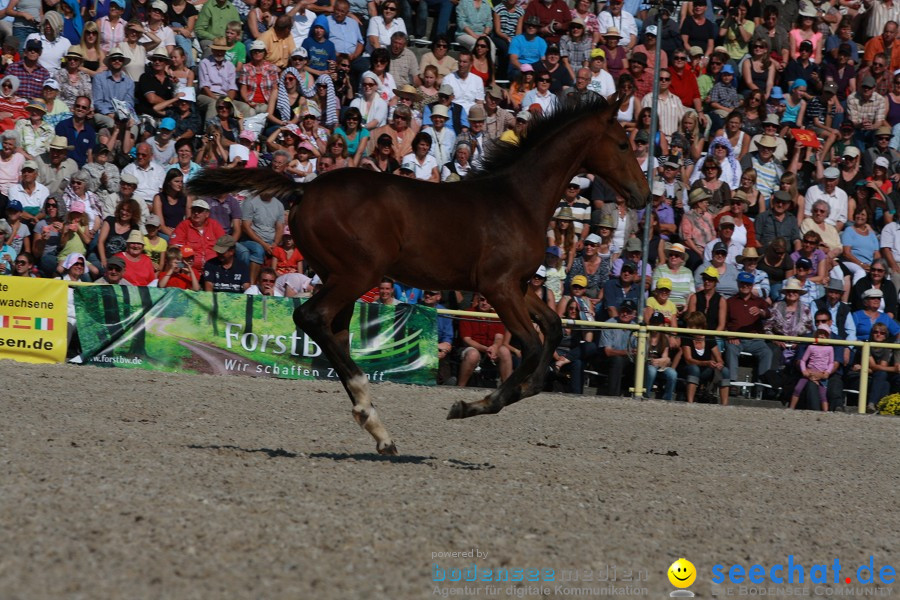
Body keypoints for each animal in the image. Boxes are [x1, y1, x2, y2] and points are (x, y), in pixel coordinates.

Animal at [188, 98, 648, 454]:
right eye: (623, 144)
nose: (644, 195)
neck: (518, 200)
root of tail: (304, 190)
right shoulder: (498, 288)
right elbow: (533, 346)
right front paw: (469, 406)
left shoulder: (516, 286)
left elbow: (553, 329)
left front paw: (523, 390)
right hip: (358, 273)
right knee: (312, 318)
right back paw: (371, 413)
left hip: (337, 276)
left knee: (332, 331)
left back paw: (376, 426)